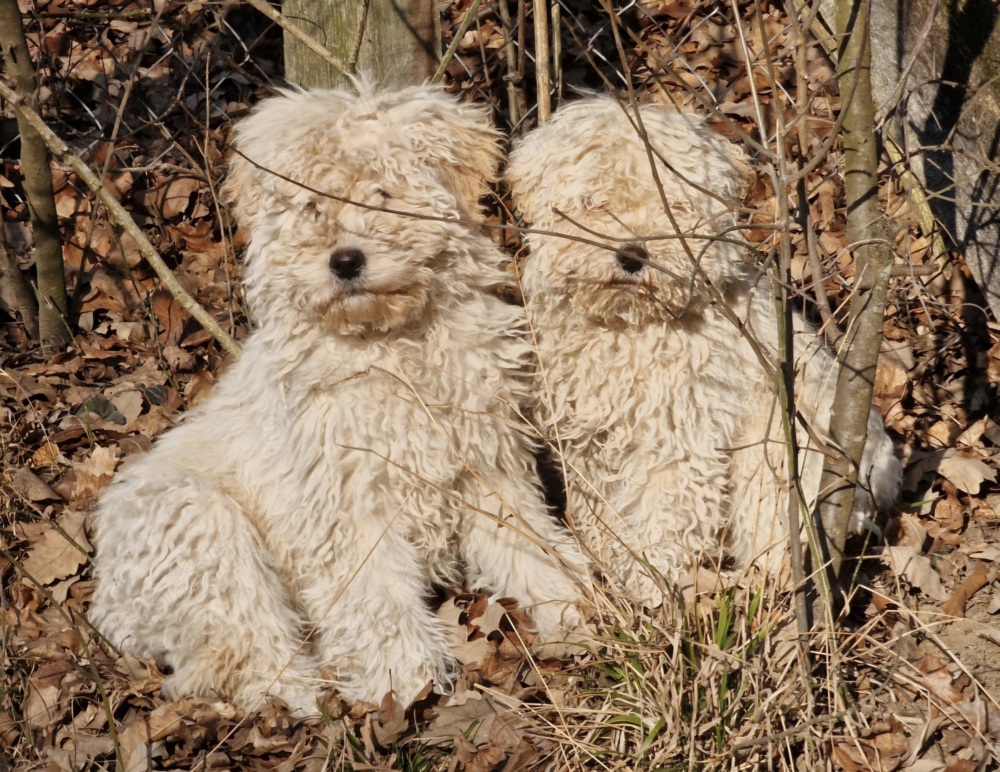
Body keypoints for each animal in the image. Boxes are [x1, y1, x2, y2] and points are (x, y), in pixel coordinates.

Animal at [89, 83, 584, 712]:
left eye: (384, 194)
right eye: (311, 208)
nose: (345, 260)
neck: (391, 346)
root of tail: (106, 604)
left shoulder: (485, 466)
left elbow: (527, 543)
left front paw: (573, 606)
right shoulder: (348, 505)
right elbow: (377, 595)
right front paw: (403, 675)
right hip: (200, 526)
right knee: (243, 656)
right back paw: (308, 694)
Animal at [504, 96, 904, 604]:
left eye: (674, 203)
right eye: (596, 200)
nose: (632, 255)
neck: (630, 325)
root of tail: (885, 473)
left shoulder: (677, 440)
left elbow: (661, 519)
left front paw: (652, 588)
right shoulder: (589, 441)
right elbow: (604, 517)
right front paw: (615, 564)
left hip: (776, 463)